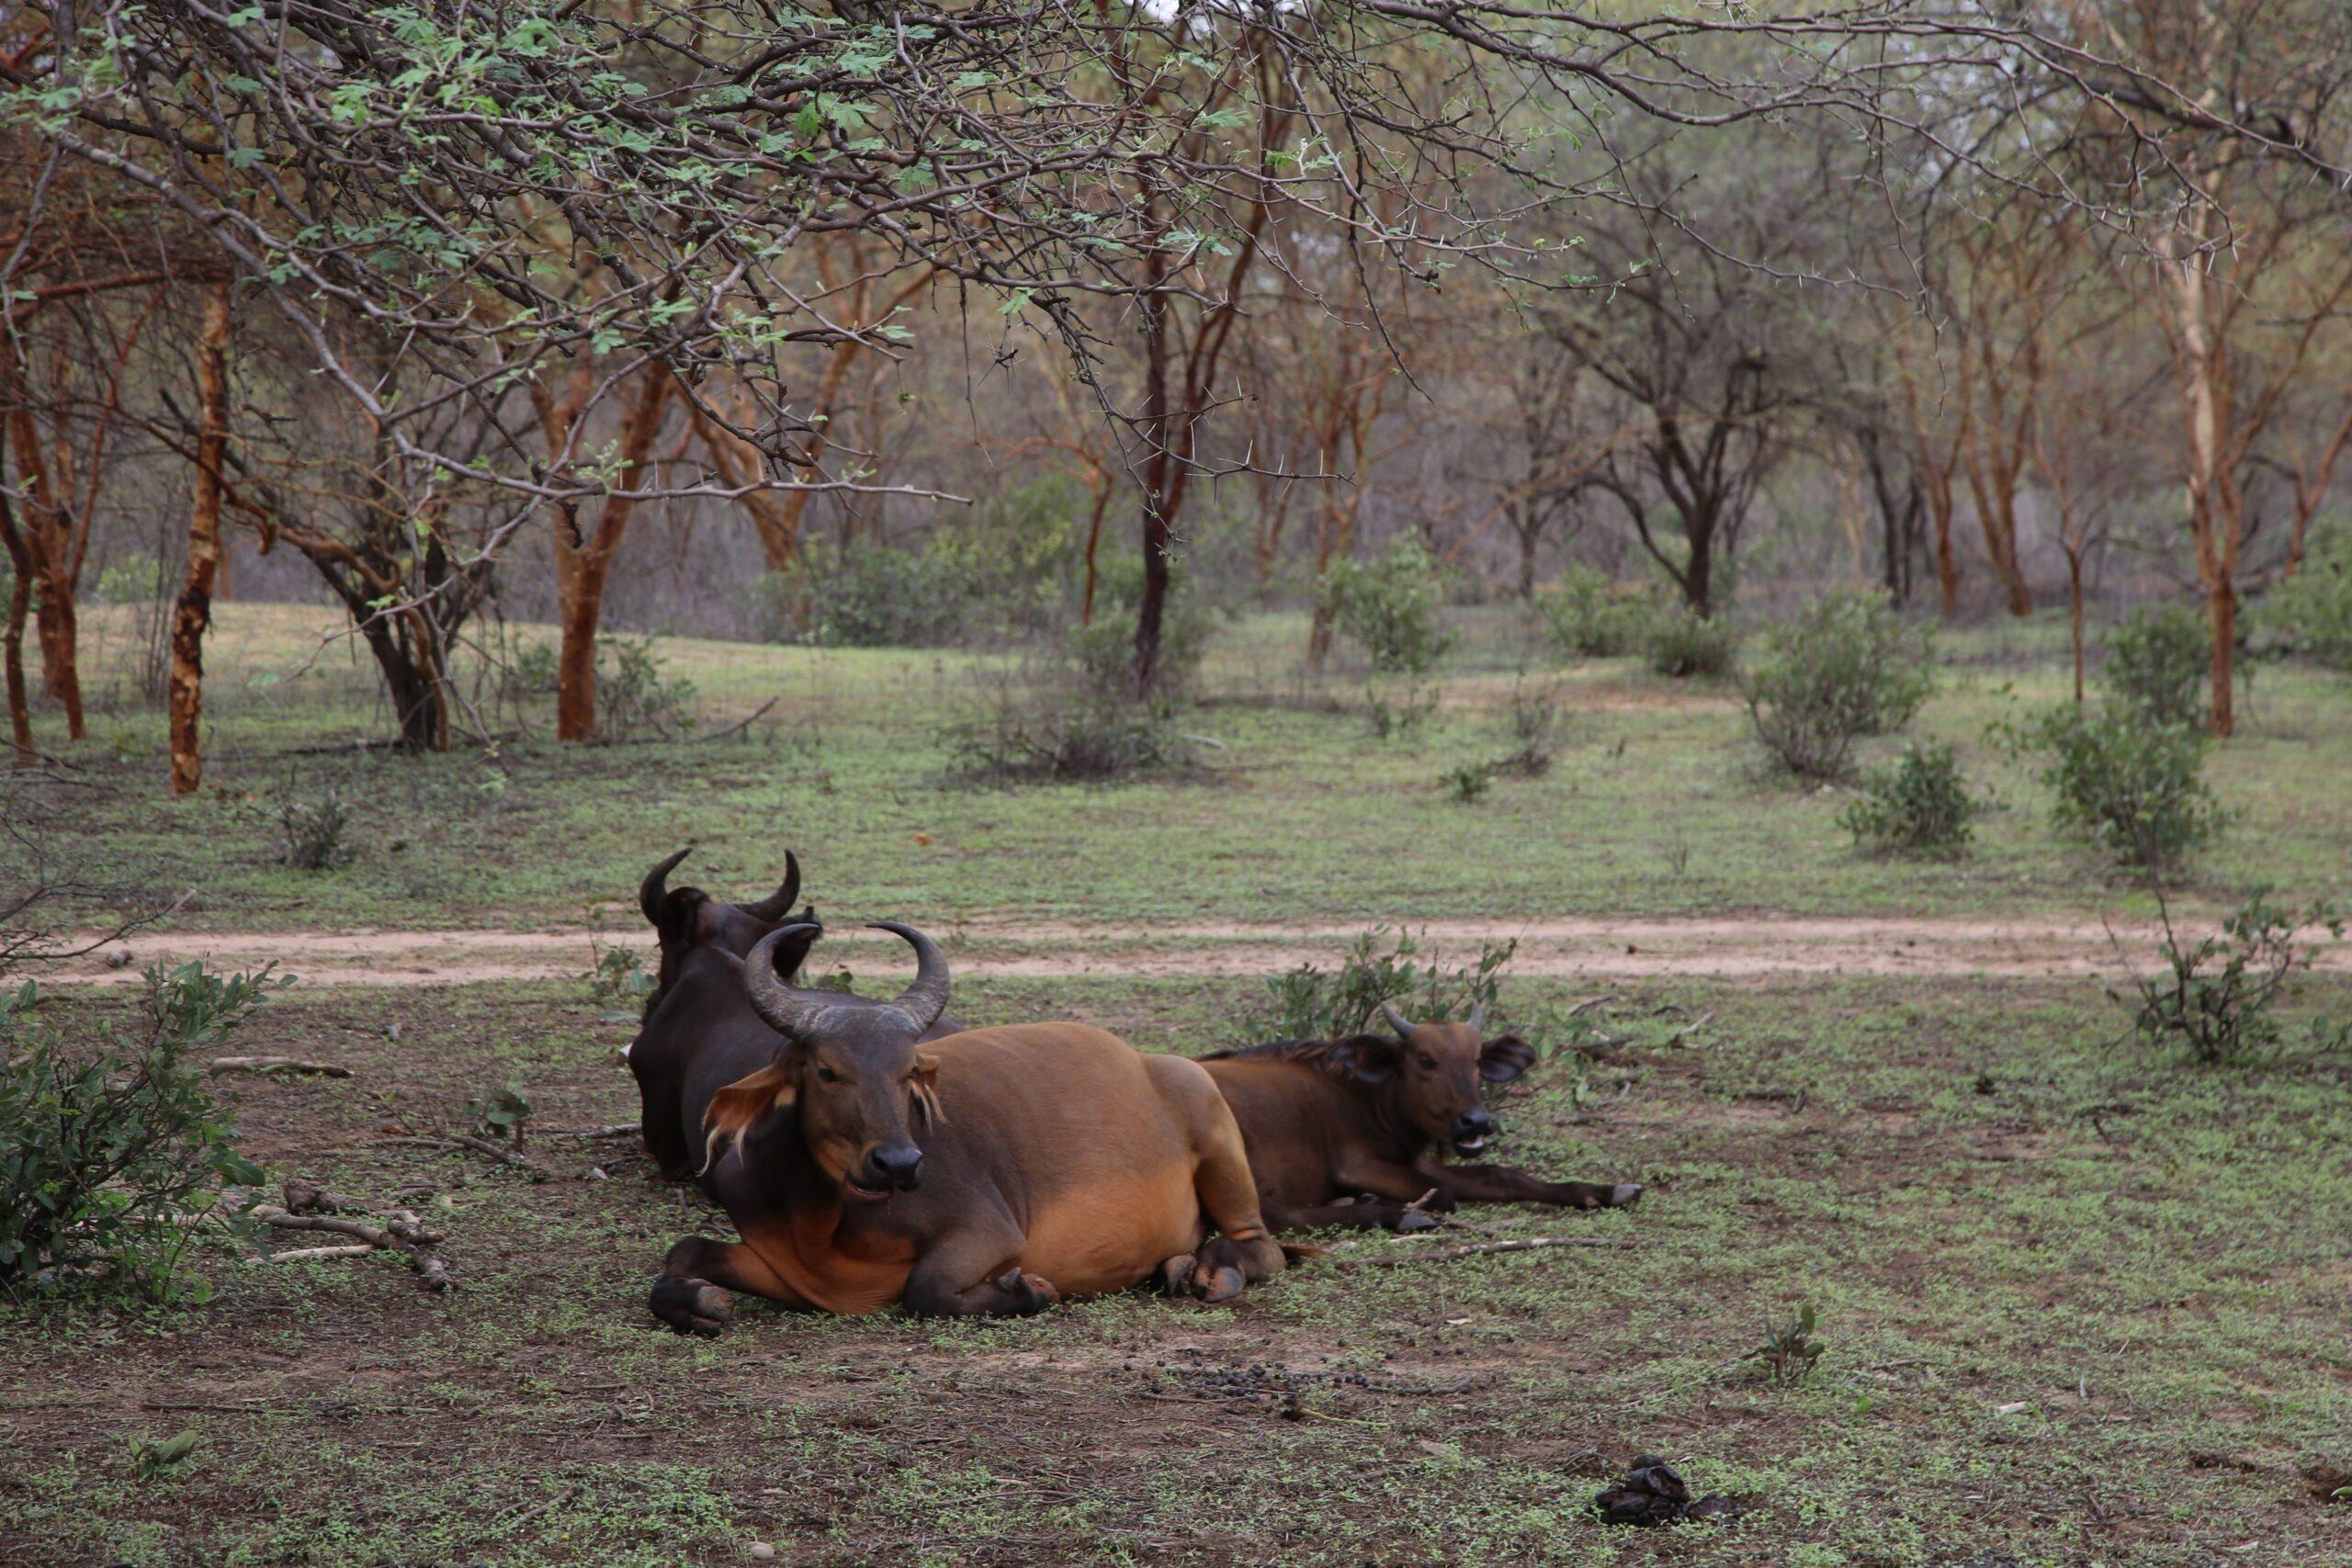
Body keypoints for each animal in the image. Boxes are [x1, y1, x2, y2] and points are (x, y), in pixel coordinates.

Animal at [642, 922, 1289, 1331]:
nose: (899, 1164)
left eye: (909, 1070)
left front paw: (1026, 1289)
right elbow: (682, 1254)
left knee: (1263, 1245)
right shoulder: (782, 1265)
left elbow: (925, 1289)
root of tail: (1151, 1063)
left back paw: (1210, 1270)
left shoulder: (990, 1233)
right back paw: (1179, 1265)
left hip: (1215, 1129)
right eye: (827, 1070)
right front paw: (703, 1303)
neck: (826, 1217)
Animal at [1201, 1004, 1642, 1232]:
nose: (1475, 1121)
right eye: (1426, 1060)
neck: (1362, 1093)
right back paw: (1395, 1213)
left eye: (1477, 1060)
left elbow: (1502, 1176)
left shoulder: (1418, 1162)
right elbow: (1445, 1194)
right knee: (1275, 1215)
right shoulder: (1358, 1165)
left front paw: (1607, 1191)